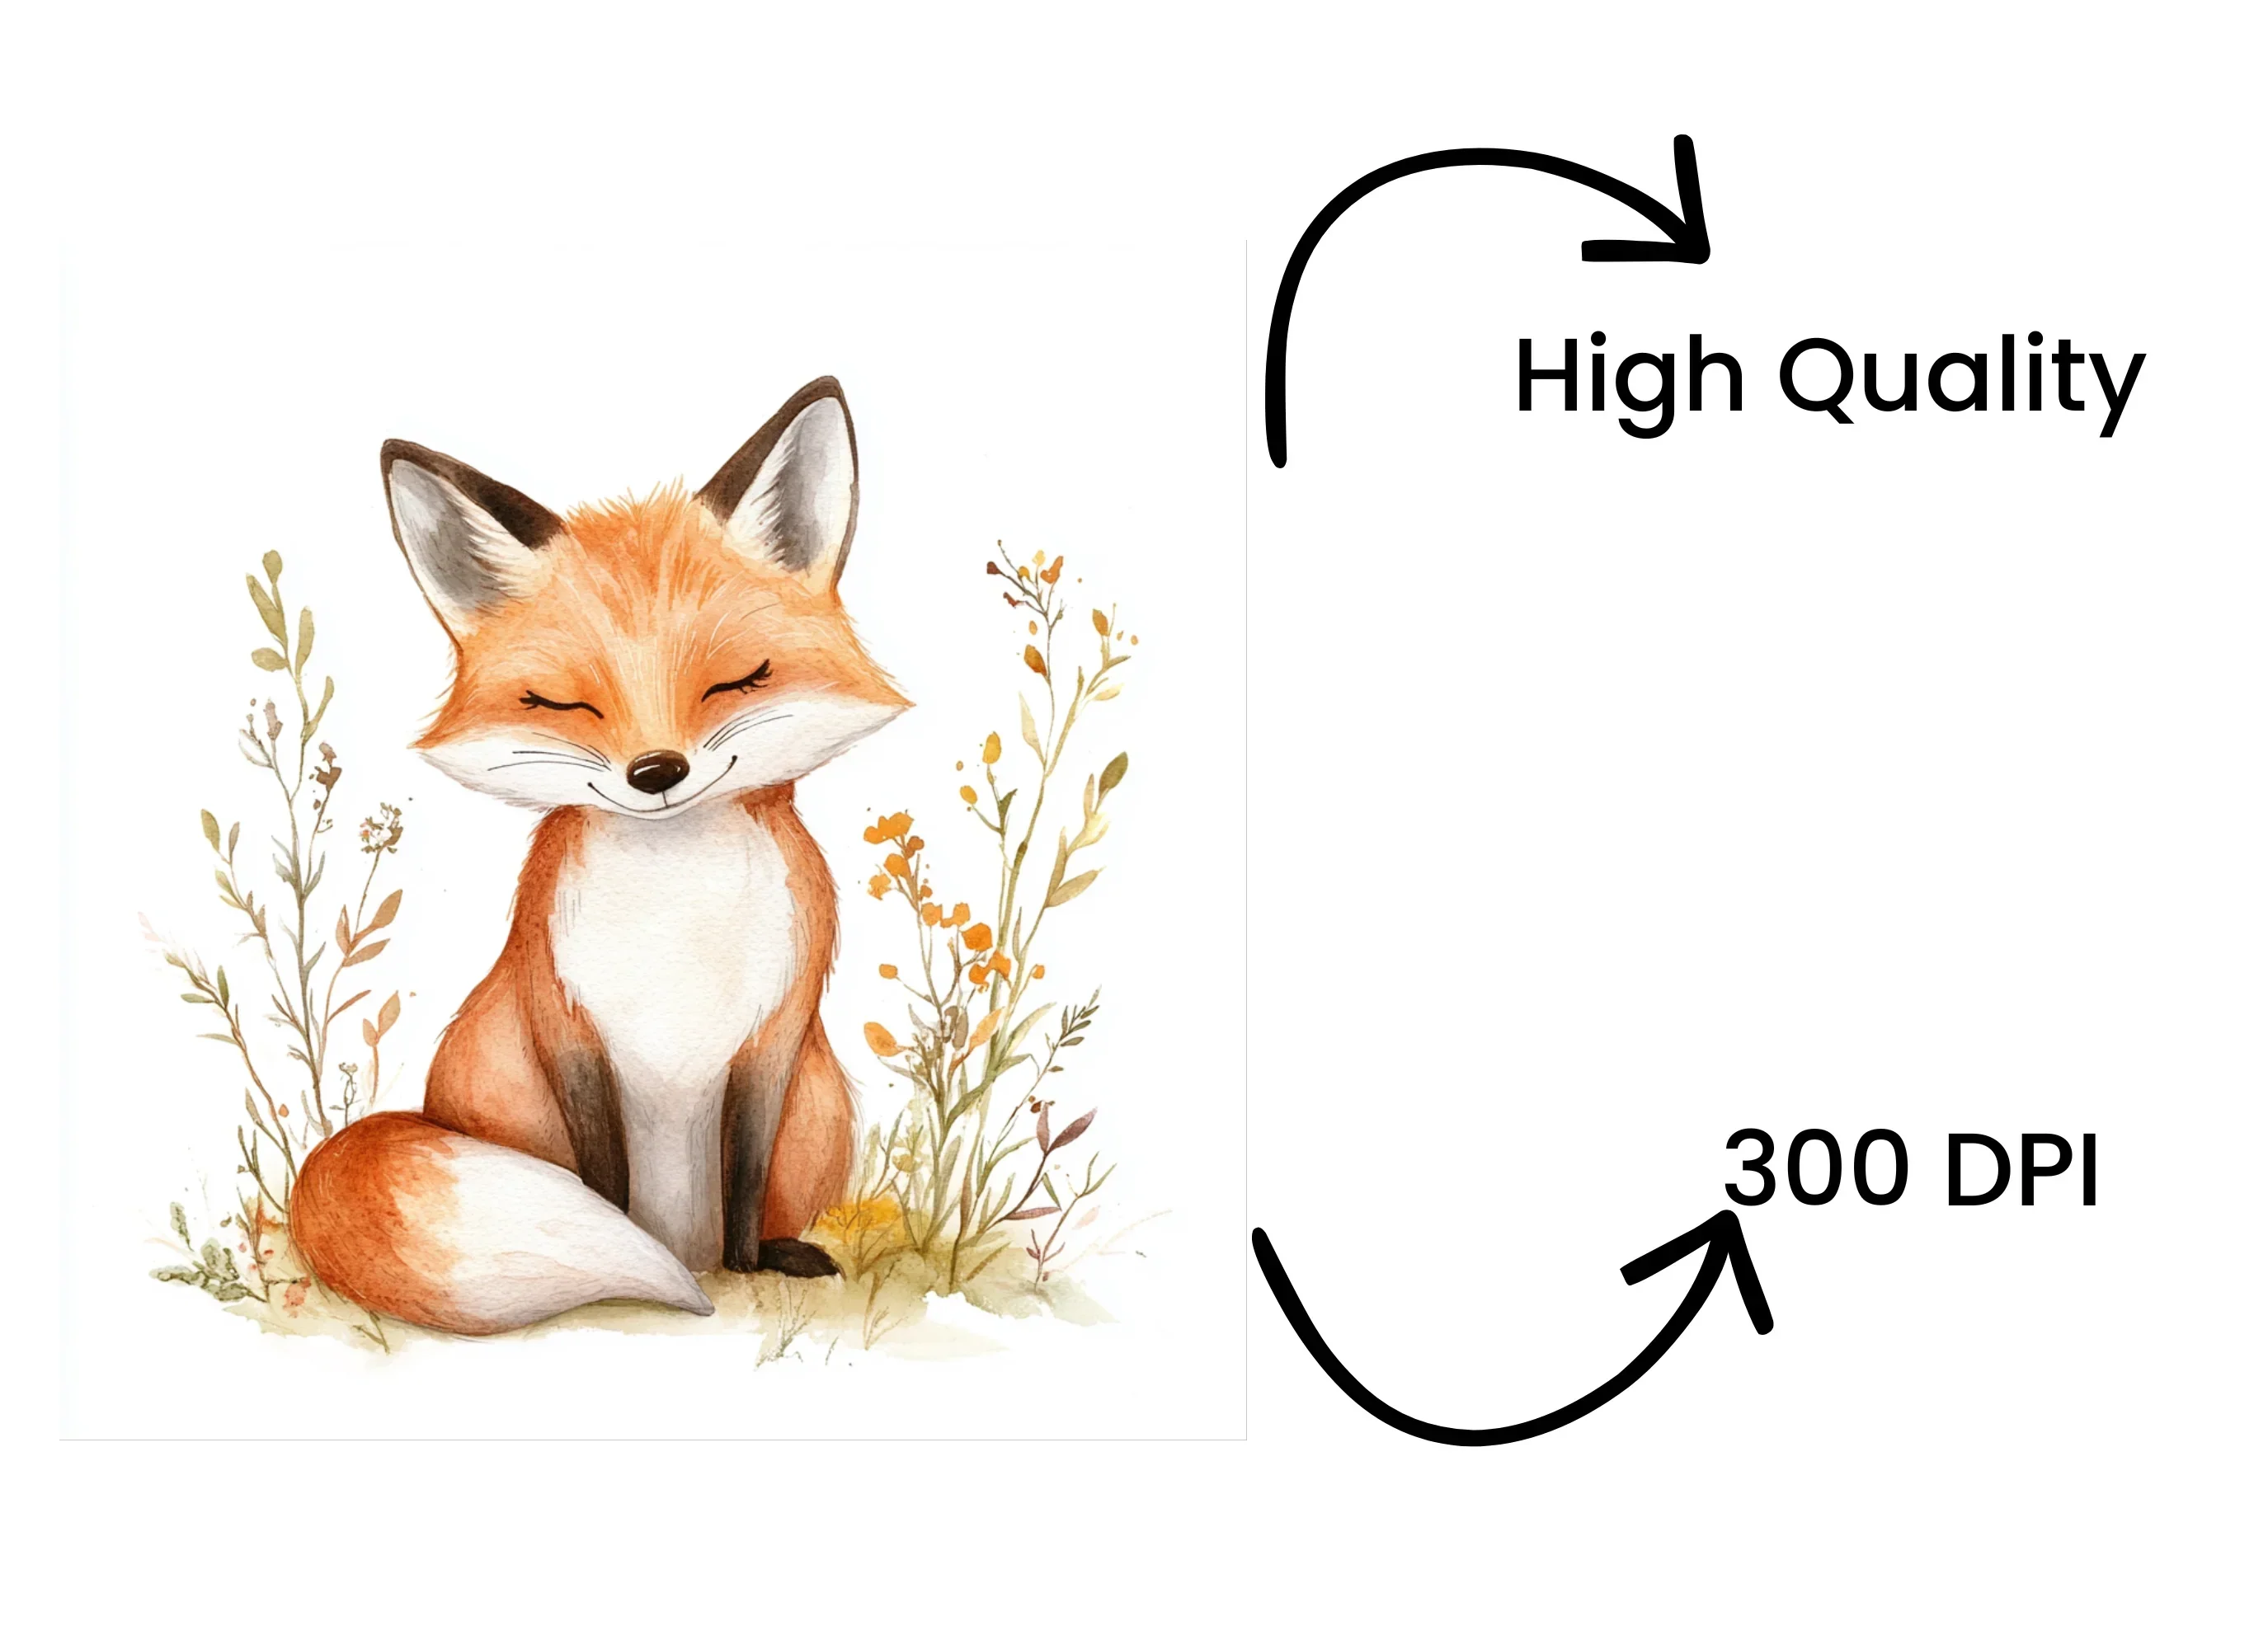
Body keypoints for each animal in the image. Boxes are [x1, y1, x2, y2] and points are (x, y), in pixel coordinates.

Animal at [289, 377, 908, 1335]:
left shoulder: (774, 1036)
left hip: (823, 1105)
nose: (656, 771)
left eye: (737, 680)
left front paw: (746, 1265)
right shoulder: (566, 1024)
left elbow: (744, 1170)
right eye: (562, 702)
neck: (675, 906)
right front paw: (640, 1256)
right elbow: (604, 1182)